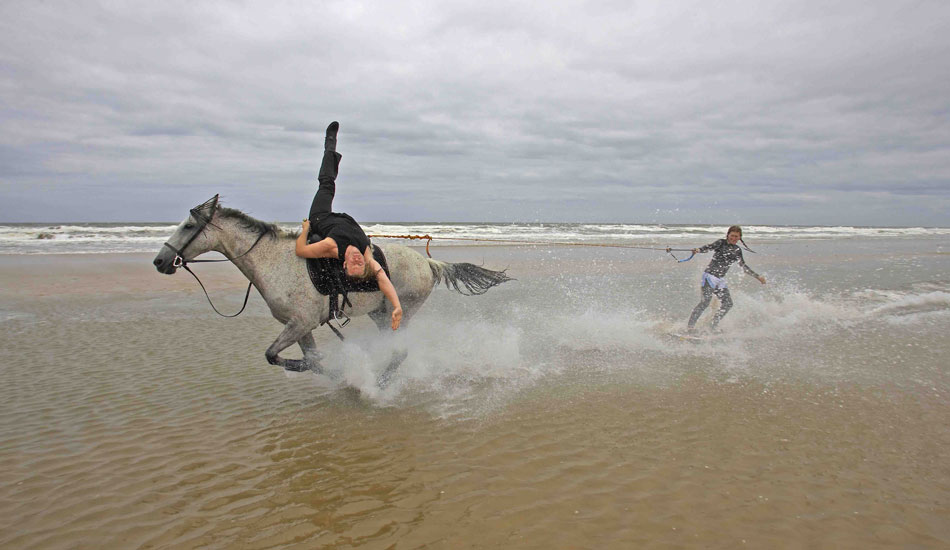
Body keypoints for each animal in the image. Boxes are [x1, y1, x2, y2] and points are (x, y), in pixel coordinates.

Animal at [154, 196, 512, 386]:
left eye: (188, 226)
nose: (160, 261)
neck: (276, 261)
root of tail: (429, 263)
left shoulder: (300, 323)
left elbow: (275, 355)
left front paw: (332, 371)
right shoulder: (300, 327)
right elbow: (308, 359)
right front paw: (332, 373)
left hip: (399, 313)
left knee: (399, 352)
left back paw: (379, 383)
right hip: (380, 315)